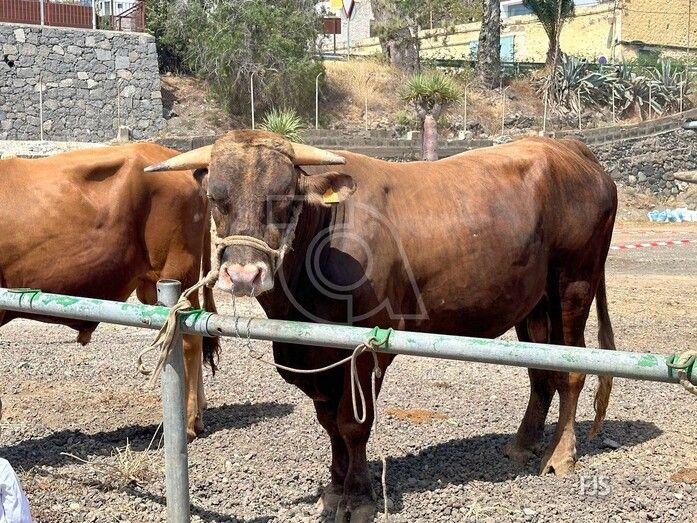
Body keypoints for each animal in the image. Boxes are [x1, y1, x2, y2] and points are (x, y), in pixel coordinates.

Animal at [146, 131, 617, 521]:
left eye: (285, 197)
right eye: (215, 197)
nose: (244, 274)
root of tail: (570, 149)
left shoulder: (366, 349)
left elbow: (353, 424)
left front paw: (358, 496)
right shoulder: (317, 359)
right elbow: (329, 422)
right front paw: (335, 487)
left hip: (574, 284)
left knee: (571, 373)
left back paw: (560, 454)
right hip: (533, 304)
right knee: (542, 371)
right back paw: (522, 443)